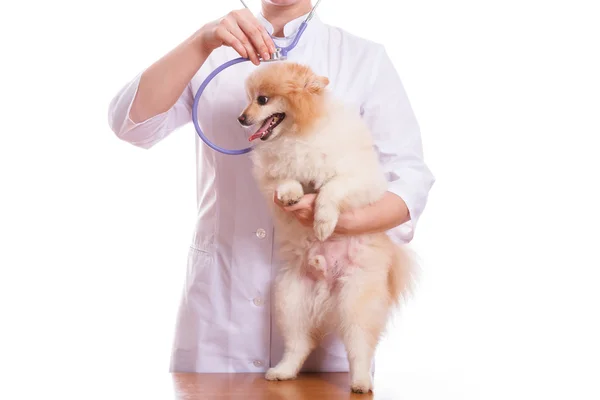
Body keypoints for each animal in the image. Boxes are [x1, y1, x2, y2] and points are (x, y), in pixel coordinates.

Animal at [237, 62, 414, 394]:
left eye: (262, 100)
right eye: (248, 99)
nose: (241, 118)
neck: (299, 134)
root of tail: (326, 288)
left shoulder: (358, 179)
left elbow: (331, 189)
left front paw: (322, 222)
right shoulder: (273, 176)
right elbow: (285, 182)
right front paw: (292, 194)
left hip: (356, 301)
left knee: (359, 348)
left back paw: (360, 382)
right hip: (291, 299)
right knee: (299, 344)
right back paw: (282, 371)